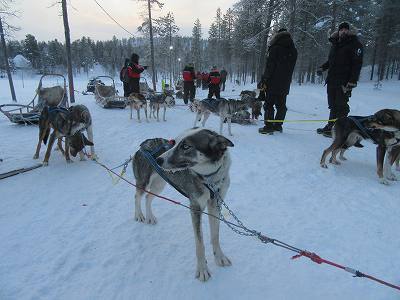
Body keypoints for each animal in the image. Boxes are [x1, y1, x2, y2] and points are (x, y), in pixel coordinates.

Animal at [134, 128, 234, 282]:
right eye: (174, 142)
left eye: (186, 146)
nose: (158, 160)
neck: (210, 180)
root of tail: (145, 143)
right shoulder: (195, 208)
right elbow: (200, 244)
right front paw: (202, 269)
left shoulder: (215, 206)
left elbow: (215, 236)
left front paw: (220, 257)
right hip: (144, 183)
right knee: (137, 196)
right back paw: (139, 215)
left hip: (159, 186)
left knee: (148, 198)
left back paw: (150, 217)